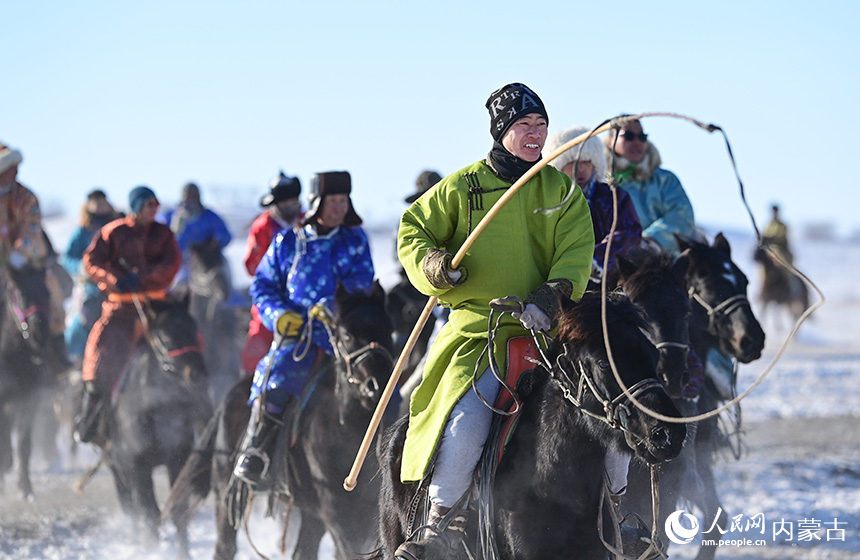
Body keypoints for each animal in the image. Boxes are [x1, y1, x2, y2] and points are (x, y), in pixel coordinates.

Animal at [102, 298, 212, 556]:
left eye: (194, 328)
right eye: (165, 337)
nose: (197, 374)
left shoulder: (177, 460)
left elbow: (178, 511)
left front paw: (184, 553)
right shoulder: (136, 466)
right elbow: (148, 512)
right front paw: (150, 548)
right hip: (119, 469)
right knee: (132, 507)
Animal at [163, 282, 394, 556]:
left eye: (388, 329)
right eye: (347, 335)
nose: (376, 385)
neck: (351, 430)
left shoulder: (364, 511)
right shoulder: (339, 513)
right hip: (226, 494)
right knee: (225, 546)